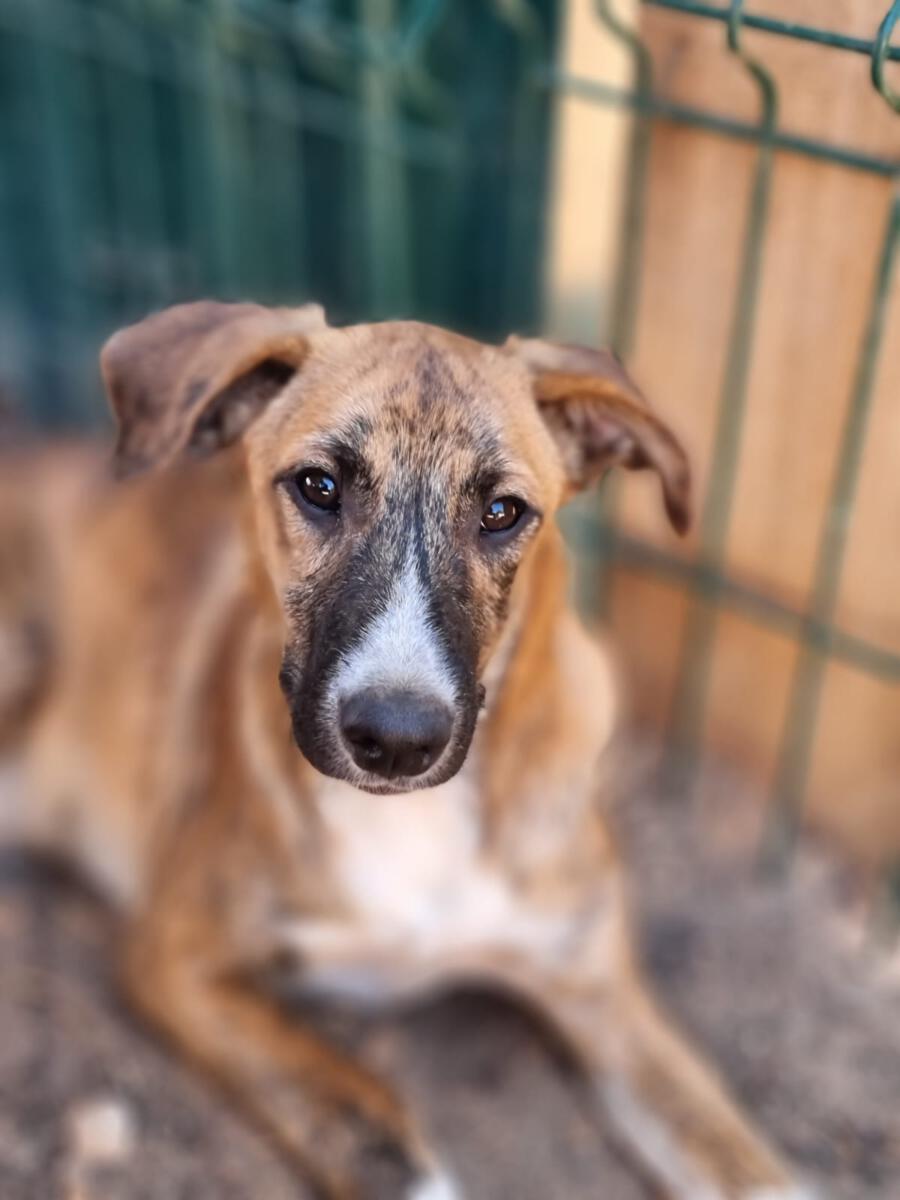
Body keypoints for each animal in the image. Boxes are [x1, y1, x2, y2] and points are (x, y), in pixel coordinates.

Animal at [0, 301, 813, 1200]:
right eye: (318, 487)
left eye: (502, 511)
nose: (395, 740)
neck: (419, 824)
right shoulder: (175, 957)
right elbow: (362, 1120)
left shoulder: (600, 988)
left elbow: (745, 1163)